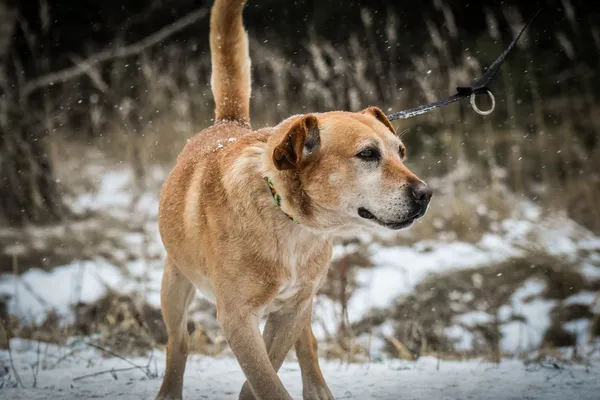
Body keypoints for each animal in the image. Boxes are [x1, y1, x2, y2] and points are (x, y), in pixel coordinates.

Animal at [155, 1, 432, 398]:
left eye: (401, 153)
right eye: (368, 154)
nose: (426, 194)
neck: (290, 223)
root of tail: (228, 123)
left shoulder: (291, 311)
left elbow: (263, 376)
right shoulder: (237, 319)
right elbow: (265, 380)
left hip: (302, 303)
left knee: (308, 344)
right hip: (175, 284)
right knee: (178, 342)